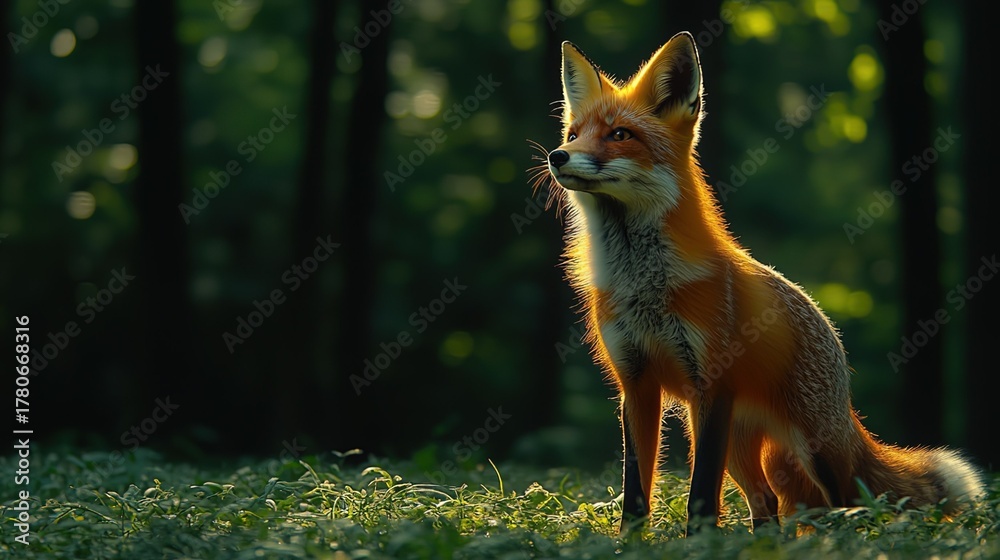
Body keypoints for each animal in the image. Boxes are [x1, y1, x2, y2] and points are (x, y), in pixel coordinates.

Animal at [534, 32, 983, 534]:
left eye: (619, 135)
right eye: (573, 135)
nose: (557, 156)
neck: (643, 284)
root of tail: (846, 392)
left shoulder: (711, 385)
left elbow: (700, 495)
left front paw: (699, 543)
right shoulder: (636, 384)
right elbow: (635, 494)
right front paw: (629, 544)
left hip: (811, 451)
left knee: (852, 507)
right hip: (738, 447)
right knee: (767, 503)